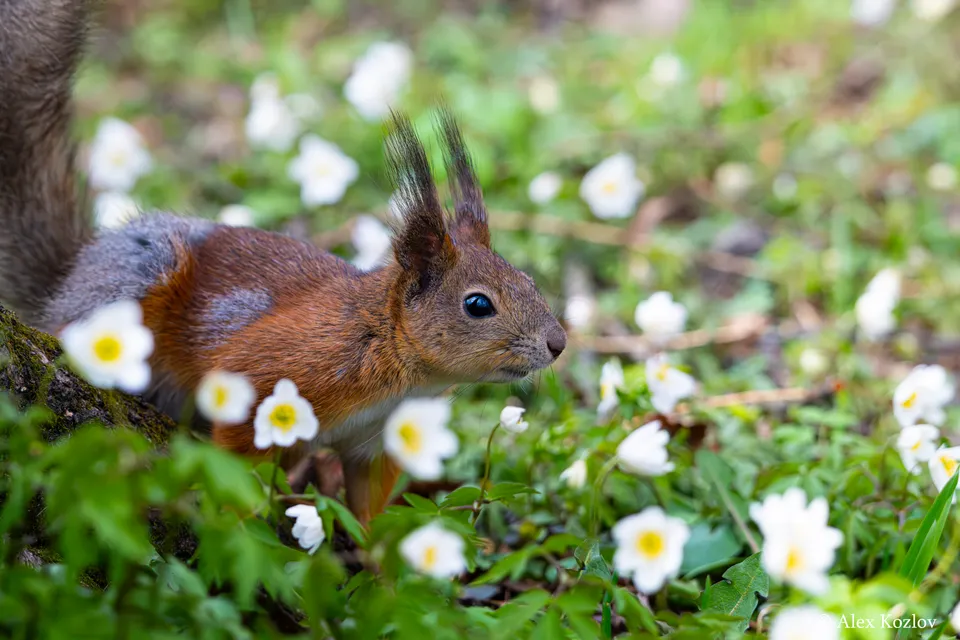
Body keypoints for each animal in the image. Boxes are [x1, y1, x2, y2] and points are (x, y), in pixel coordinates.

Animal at [0, 0, 567, 523]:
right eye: (478, 304)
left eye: (530, 280)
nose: (558, 344)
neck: (389, 346)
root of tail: (69, 282)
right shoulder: (276, 372)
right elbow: (238, 459)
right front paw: (239, 518)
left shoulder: (374, 442)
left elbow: (368, 513)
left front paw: (376, 564)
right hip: (133, 284)